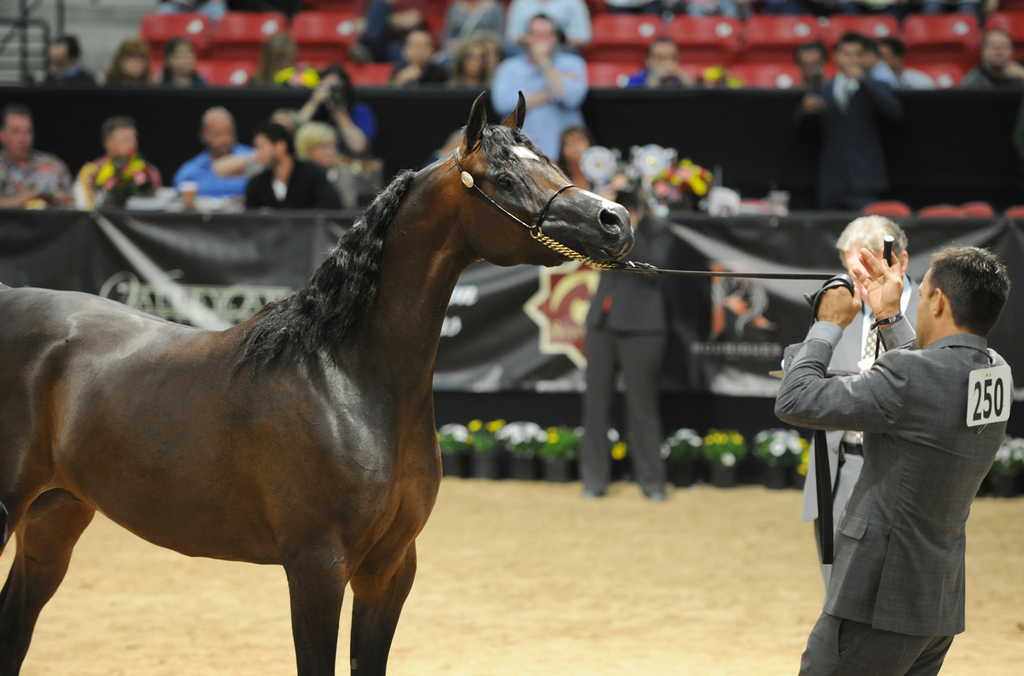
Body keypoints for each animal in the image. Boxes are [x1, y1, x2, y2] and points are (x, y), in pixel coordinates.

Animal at [0, 92, 632, 676]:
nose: (616, 220)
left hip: (55, 516)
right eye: (503, 178)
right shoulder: (316, 567)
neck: (345, 381)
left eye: (550, 159)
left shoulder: (390, 569)